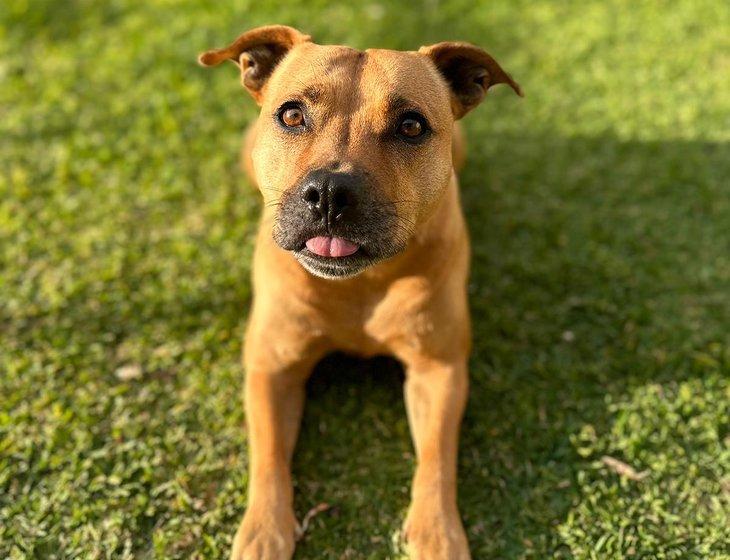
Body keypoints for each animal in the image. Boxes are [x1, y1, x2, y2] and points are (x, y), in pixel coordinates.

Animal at [198, 25, 516, 560]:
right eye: (291, 115)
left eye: (411, 126)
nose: (330, 191)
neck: (361, 284)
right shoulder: (271, 367)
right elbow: (268, 453)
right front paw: (263, 530)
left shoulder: (439, 369)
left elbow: (437, 454)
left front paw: (437, 532)